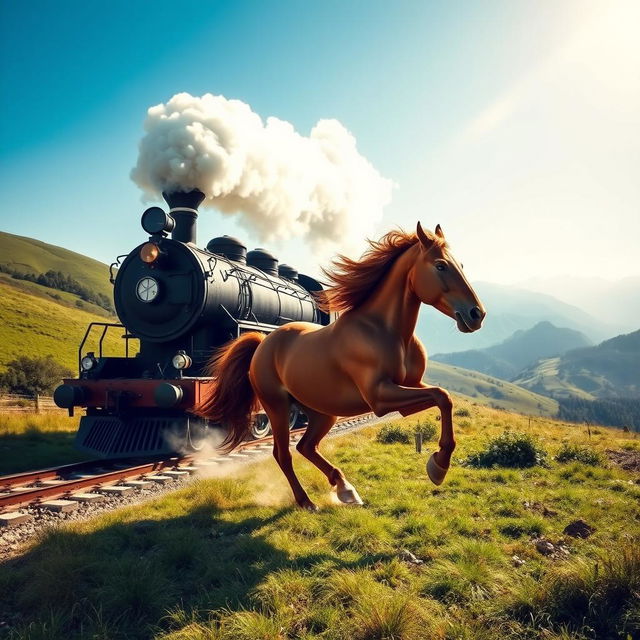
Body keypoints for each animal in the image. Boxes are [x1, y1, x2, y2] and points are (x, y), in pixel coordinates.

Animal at [200, 224, 484, 510]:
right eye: (440, 266)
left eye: (459, 264)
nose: (476, 314)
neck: (384, 330)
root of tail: (262, 342)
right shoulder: (379, 397)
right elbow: (442, 396)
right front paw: (439, 466)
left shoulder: (411, 387)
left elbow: (443, 398)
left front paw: (438, 464)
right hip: (276, 406)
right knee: (283, 453)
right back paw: (307, 502)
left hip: (322, 412)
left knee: (306, 446)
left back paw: (346, 489)